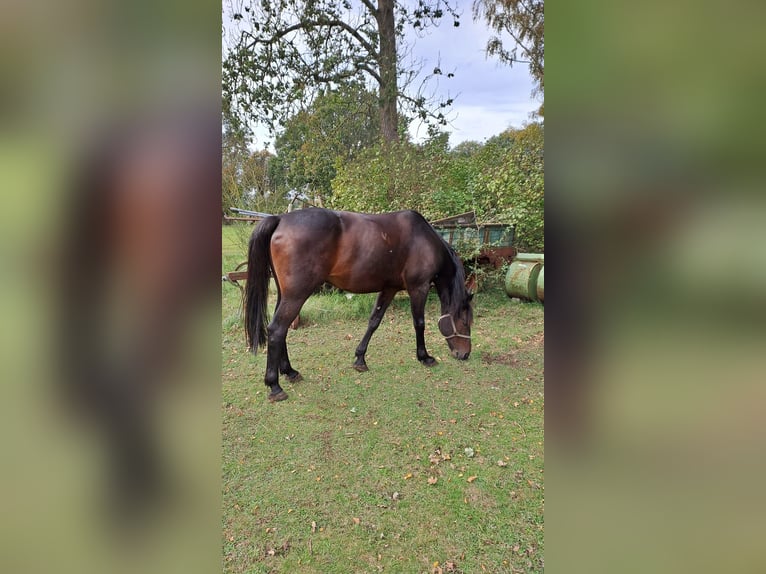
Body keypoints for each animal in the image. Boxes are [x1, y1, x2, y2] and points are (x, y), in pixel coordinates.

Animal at [246, 209, 474, 402]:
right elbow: (419, 323)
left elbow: (374, 321)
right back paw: (275, 386)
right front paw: (424, 357)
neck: (423, 240)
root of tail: (280, 219)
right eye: (464, 321)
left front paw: (360, 359)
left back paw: (290, 372)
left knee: (281, 330)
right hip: (296, 295)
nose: (465, 354)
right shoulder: (419, 287)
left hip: (286, 294)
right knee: (277, 329)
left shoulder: (389, 288)